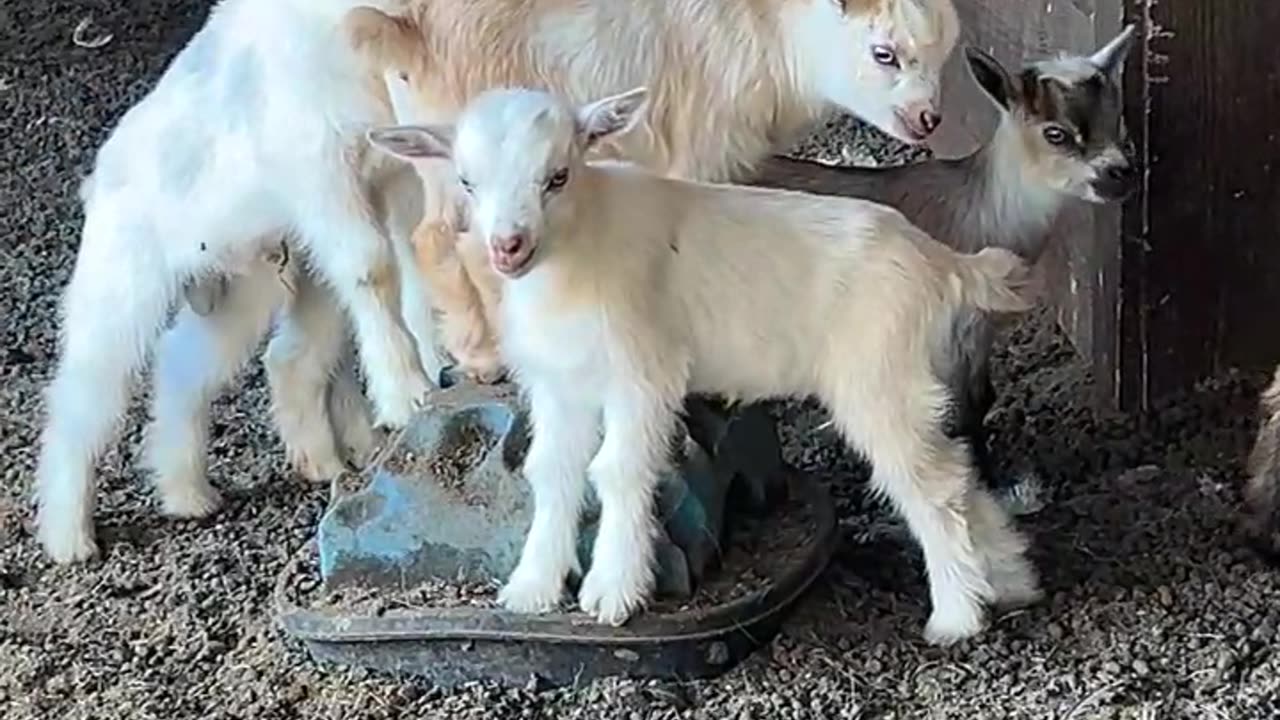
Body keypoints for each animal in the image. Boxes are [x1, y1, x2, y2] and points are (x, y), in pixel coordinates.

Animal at [33, 0, 447, 564]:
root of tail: (100, 176)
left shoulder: (399, 176)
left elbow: (417, 274)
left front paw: (435, 371)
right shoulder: (321, 170)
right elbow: (372, 266)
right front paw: (406, 393)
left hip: (247, 288)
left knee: (189, 365)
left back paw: (192, 493)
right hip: (120, 288)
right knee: (83, 398)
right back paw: (68, 535)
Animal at [366, 86, 1044, 643]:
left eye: (558, 175)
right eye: (467, 181)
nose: (508, 247)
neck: (579, 249)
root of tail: (942, 263)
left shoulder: (643, 373)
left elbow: (617, 470)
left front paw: (613, 591)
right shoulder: (561, 386)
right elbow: (552, 473)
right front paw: (532, 588)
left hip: (877, 379)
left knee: (930, 485)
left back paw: (957, 615)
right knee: (954, 468)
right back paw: (1009, 579)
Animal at [752, 27, 1139, 497]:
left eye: (1114, 117)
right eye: (1056, 134)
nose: (1121, 173)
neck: (980, 213)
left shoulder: (979, 330)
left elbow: (984, 395)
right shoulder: (952, 330)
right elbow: (967, 405)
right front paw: (985, 478)